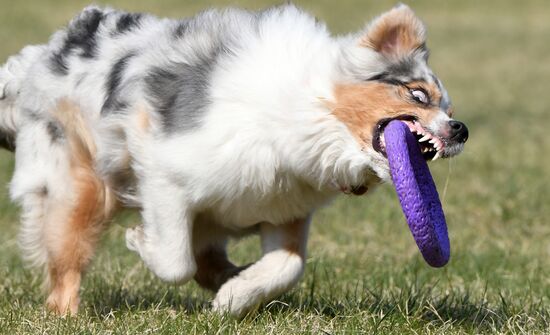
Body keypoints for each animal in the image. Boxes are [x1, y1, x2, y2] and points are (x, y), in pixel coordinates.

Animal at [0, 2, 470, 318]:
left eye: (448, 107)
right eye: (417, 95)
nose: (461, 128)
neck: (304, 112)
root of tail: (40, 56)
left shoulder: (285, 205)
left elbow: (287, 265)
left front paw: (235, 297)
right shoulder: (166, 176)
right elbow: (174, 260)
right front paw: (139, 240)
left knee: (208, 260)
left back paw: (229, 279)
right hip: (78, 185)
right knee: (68, 256)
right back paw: (66, 314)